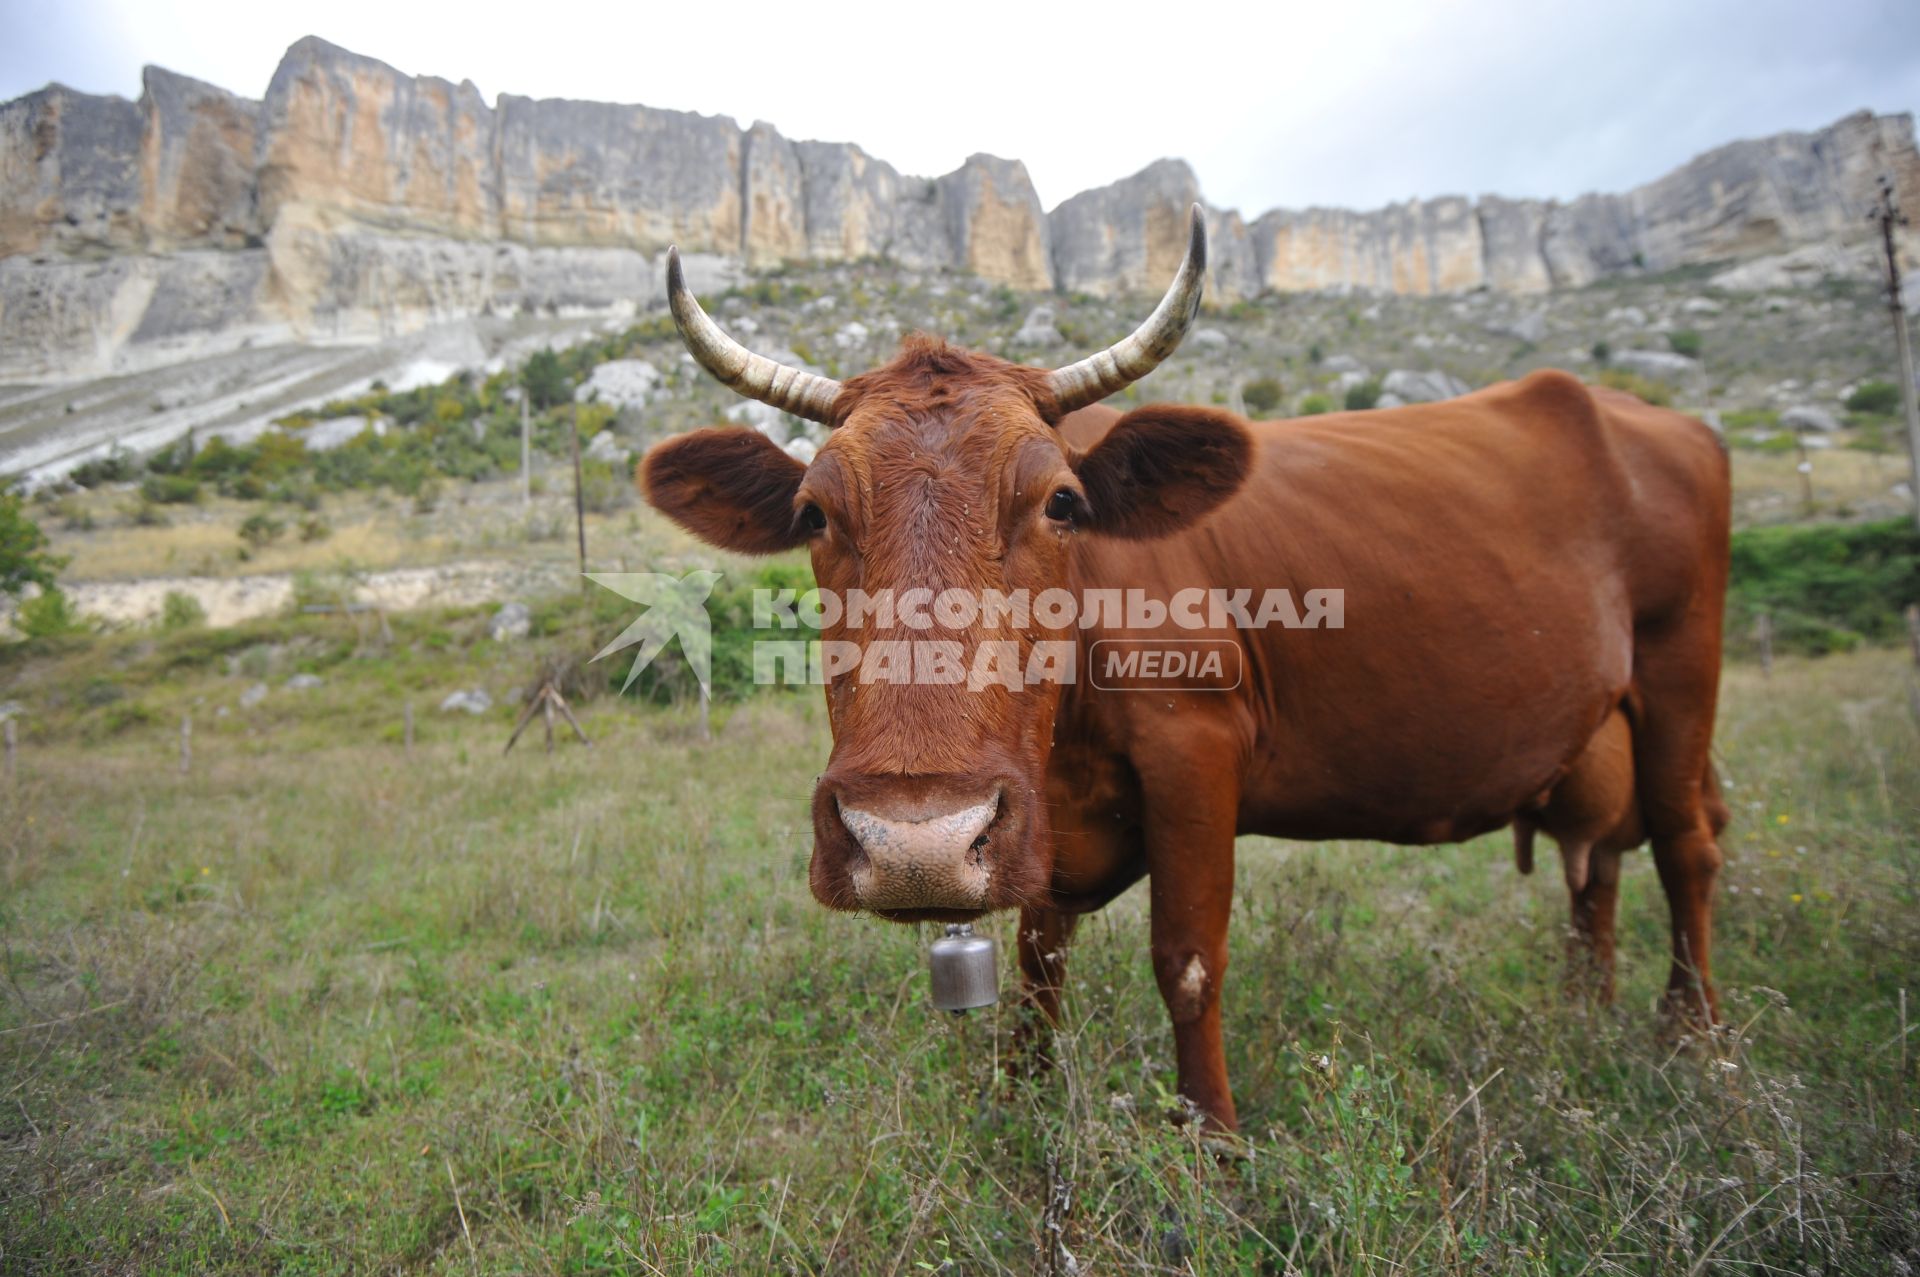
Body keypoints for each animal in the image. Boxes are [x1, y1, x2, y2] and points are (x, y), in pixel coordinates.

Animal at [637, 206, 1735, 1129]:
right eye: (815, 512)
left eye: (1063, 502)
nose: (917, 841)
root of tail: (1652, 416)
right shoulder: (1036, 816)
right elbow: (1037, 965)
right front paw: (1019, 1114)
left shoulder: (1195, 753)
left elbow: (1189, 958)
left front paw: (1213, 1144)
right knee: (1597, 862)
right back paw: (1584, 1010)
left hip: (1683, 671)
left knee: (1686, 844)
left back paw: (1694, 1038)